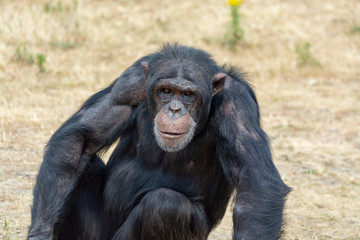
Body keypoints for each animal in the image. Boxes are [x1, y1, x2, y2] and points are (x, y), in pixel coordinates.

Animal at [29, 43, 292, 240]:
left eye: (188, 94)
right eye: (165, 90)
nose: (174, 109)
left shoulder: (236, 102)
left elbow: (254, 179)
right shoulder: (130, 82)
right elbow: (80, 137)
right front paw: (40, 233)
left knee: (166, 205)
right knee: (81, 161)